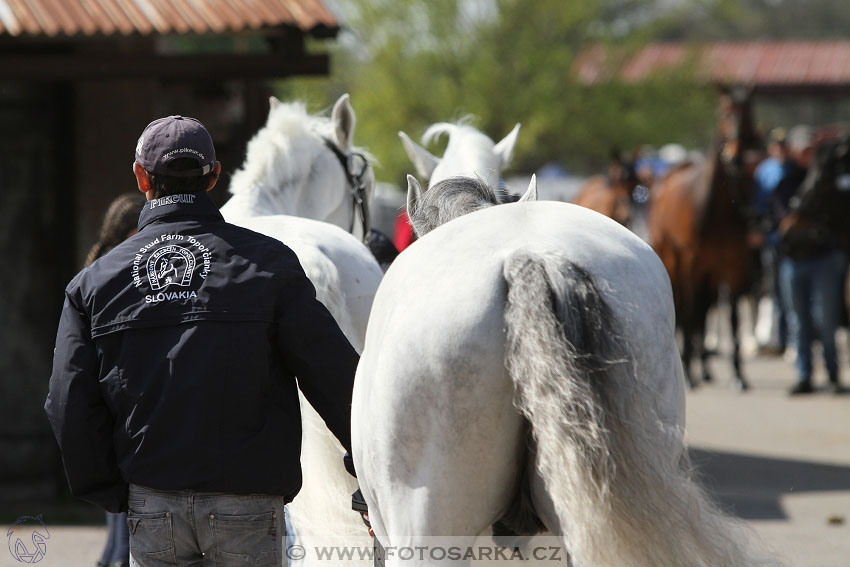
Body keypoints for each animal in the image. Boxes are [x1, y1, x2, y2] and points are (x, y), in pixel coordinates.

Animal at [648, 89, 760, 390]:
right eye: (723, 113)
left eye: (749, 114)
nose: (736, 154)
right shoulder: (693, 261)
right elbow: (692, 311)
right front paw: (689, 370)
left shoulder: (734, 265)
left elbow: (732, 317)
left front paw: (738, 374)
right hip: (674, 259)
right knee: (690, 308)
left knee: (705, 309)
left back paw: (706, 367)